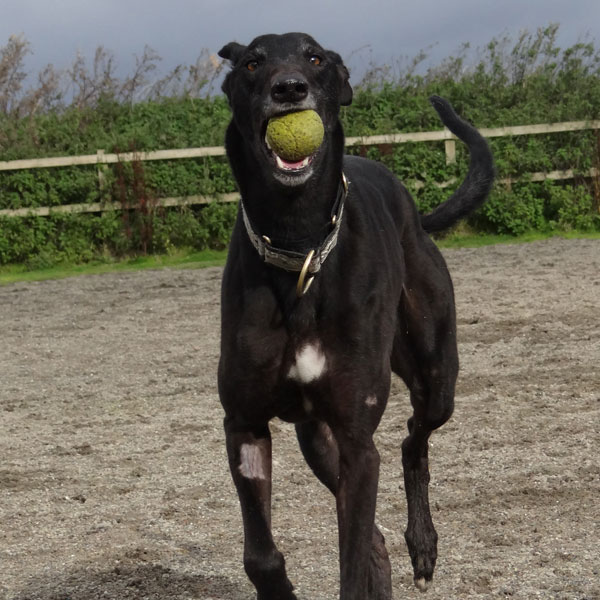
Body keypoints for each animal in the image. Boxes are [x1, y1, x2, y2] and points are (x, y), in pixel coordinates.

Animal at [216, 34, 492, 600]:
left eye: (314, 58)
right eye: (252, 62)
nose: (289, 88)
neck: (300, 248)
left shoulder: (358, 442)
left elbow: (352, 561)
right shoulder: (245, 424)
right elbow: (261, 556)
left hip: (435, 375)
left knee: (412, 439)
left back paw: (423, 543)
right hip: (318, 439)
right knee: (377, 534)